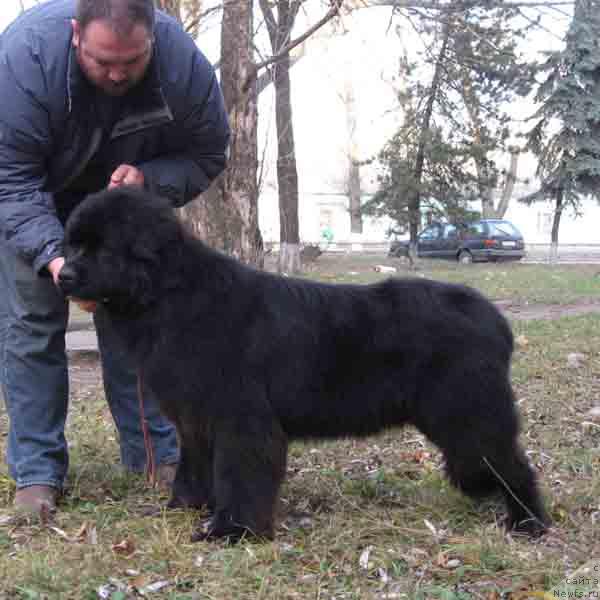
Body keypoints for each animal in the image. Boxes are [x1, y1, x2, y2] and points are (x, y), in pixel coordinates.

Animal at [58, 186, 552, 540]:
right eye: (74, 243)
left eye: (102, 248)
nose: (62, 274)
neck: (170, 295)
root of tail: (494, 318)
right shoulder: (196, 418)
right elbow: (194, 465)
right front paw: (185, 507)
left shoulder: (241, 418)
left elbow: (241, 474)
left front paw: (233, 530)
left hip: (468, 412)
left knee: (511, 463)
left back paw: (528, 523)